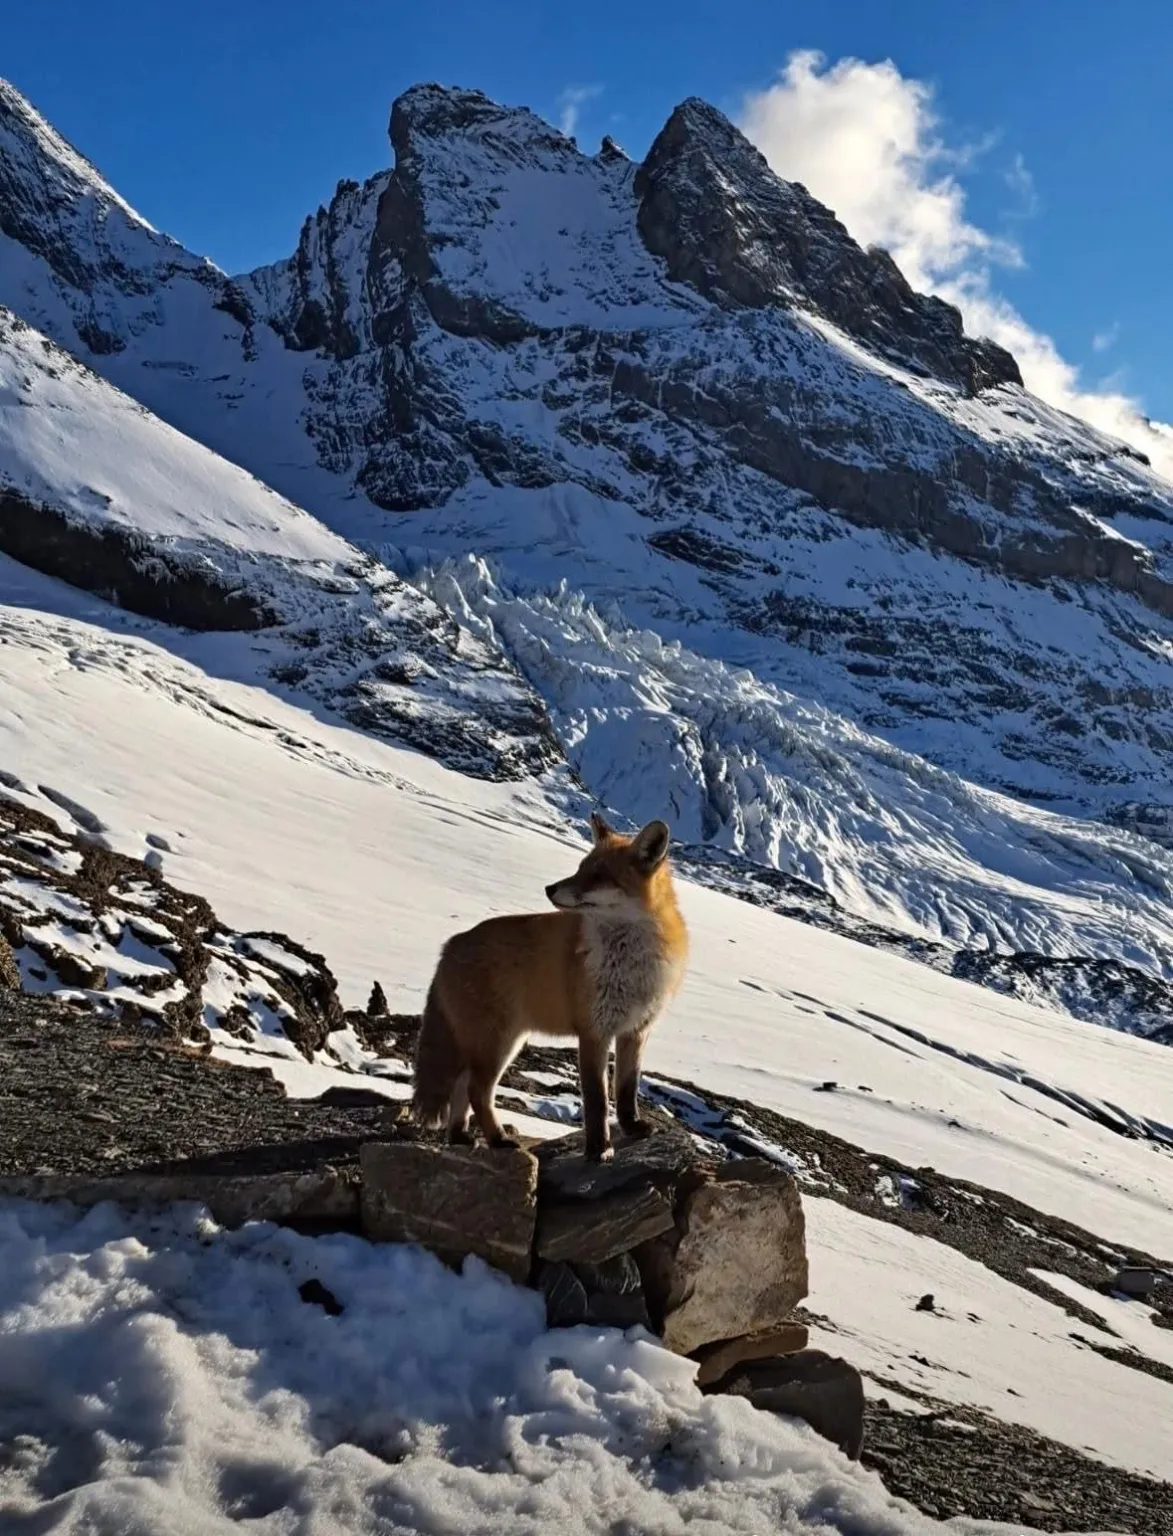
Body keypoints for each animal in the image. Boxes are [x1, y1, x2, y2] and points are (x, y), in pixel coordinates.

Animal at [409, 812, 688, 1162]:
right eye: (581, 868)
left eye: (598, 875)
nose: (549, 888)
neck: (630, 963)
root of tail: (450, 944)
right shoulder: (594, 1032)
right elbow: (597, 1100)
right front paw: (599, 1148)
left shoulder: (636, 1031)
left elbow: (626, 1090)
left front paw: (632, 1127)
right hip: (497, 1042)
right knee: (476, 1091)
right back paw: (498, 1139)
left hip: (497, 1042)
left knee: (462, 1086)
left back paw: (460, 1136)